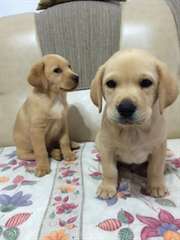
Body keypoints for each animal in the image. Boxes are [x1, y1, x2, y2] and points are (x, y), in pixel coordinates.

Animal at [90, 49, 178, 199]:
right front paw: (107, 187)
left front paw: (156, 186)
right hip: (98, 139)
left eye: (146, 82)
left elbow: (155, 169)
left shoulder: (159, 147)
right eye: (111, 84)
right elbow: (110, 170)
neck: (132, 130)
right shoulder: (107, 149)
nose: (125, 108)